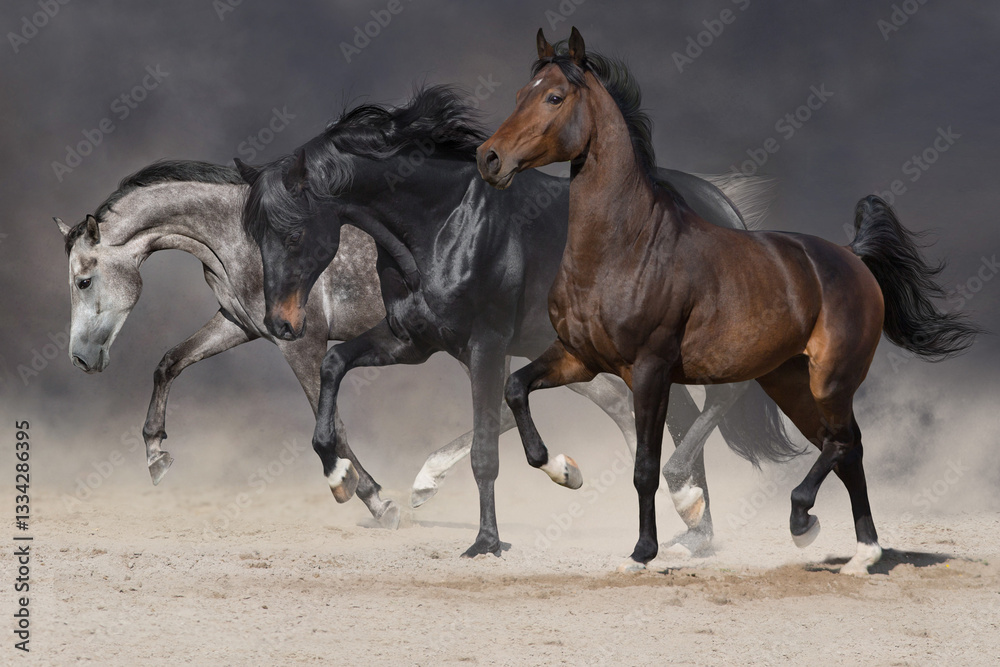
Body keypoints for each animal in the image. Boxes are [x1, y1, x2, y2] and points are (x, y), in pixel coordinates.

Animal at [238, 85, 802, 557]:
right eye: (257, 234)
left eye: (292, 234)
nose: (280, 323)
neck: (440, 225)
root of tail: (721, 206)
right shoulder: (411, 341)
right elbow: (334, 363)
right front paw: (338, 476)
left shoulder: (486, 344)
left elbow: (486, 448)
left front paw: (488, 541)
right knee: (680, 414)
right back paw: (693, 526)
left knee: (723, 398)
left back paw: (686, 505)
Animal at [477, 28, 982, 573]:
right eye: (519, 95)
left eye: (554, 97)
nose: (489, 158)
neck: (625, 246)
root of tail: (851, 256)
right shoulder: (578, 357)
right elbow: (516, 389)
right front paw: (565, 470)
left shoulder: (650, 369)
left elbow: (645, 467)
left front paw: (645, 549)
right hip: (789, 381)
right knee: (847, 449)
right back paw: (861, 554)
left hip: (829, 378)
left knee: (842, 442)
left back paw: (807, 523)